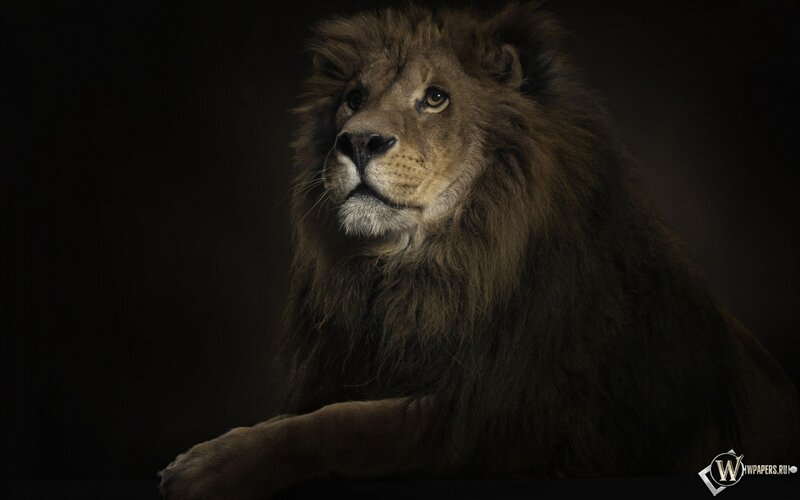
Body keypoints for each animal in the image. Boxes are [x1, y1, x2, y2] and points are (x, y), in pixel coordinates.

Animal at [160, 3, 800, 498]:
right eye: (353, 97)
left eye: (435, 98)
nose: (357, 141)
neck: (431, 270)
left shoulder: (503, 413)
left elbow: (342, 426)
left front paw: (206, 466)